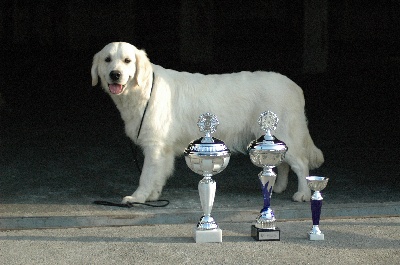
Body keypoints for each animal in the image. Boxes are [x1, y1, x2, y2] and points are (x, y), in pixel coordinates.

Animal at [92, 41, 324, 202]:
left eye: (127, 60)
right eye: (107, 59)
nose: (115, 74)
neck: (143, 89)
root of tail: (294, 86)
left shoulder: (154, 145)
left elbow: (146, 176)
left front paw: (138, 197)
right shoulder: (162, 149)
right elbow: (157, 175)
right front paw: (153, 196)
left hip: (284, 133)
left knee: (301, 164)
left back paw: (303, 194)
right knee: (284, 163)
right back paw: (277, 187)